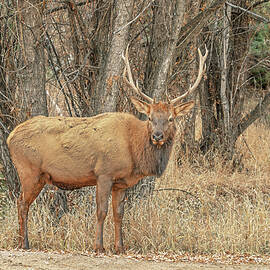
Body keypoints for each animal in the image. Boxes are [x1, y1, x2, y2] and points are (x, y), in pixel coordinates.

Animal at [6, 46, 209, 253]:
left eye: (170, 118)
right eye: (150, 117)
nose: (157, 136)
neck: (134, 151)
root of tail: (10, 137)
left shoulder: (121, 183)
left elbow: (119, 214)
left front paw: (120, 247)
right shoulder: (104, 173)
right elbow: (101, 211)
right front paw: (99, 246)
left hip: (37, 175)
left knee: (22, 203)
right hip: (29, 171)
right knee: (21, 203)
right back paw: (24, 243)